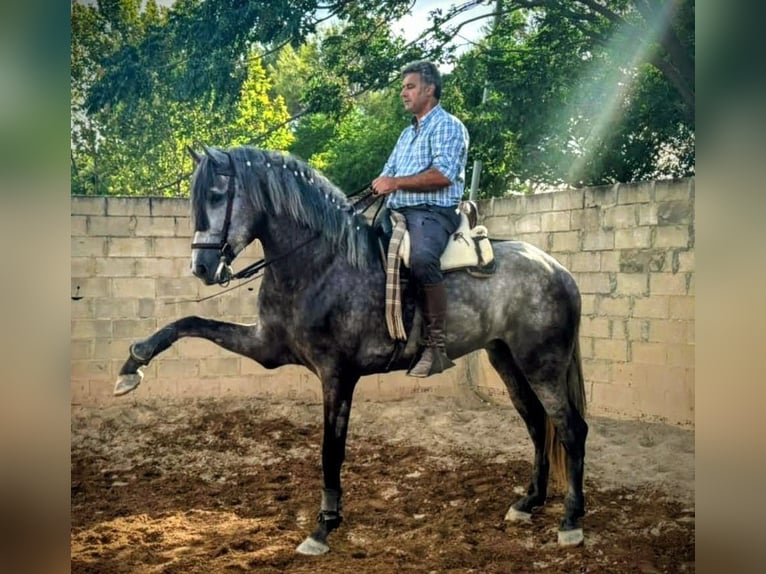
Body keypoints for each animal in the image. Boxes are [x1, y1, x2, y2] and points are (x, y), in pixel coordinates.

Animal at [114, 144, 588, 554]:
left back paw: (571, 521)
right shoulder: (266, 348)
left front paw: (323, 527)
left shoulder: (337, 375)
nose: (202, 266)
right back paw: (529, 503)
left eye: (215, 196)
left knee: (570, 429)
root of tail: (558, 270)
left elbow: (331, 450)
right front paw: (132, 366)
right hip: (506, 359)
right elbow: (190, 323)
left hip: (542, 364)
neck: (321, 264)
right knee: (537, 422)